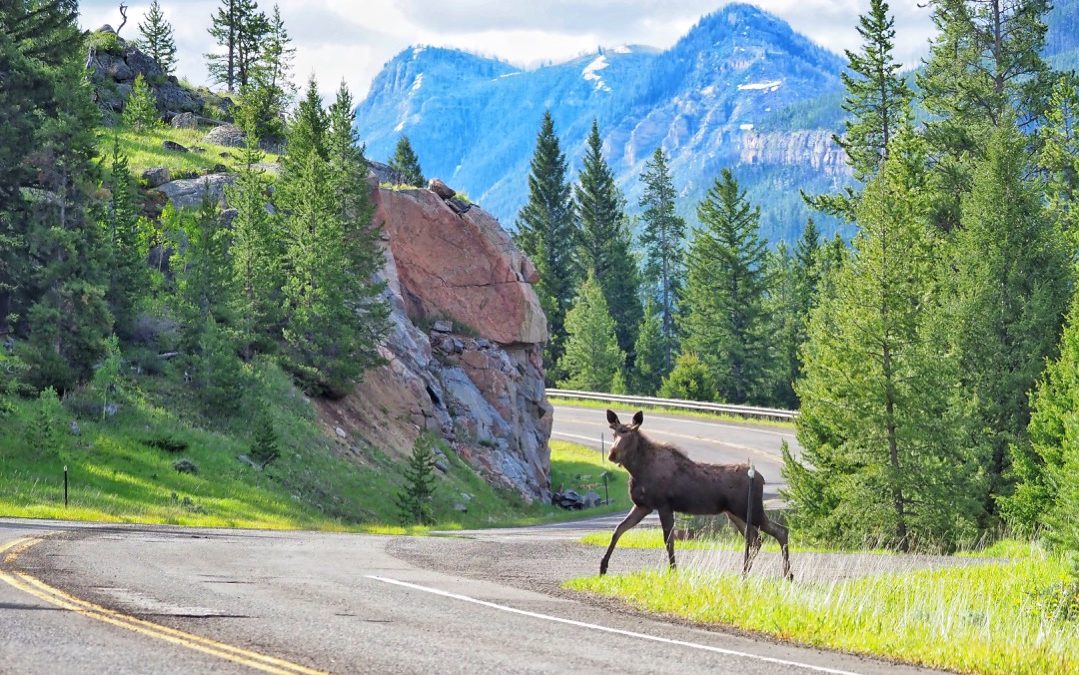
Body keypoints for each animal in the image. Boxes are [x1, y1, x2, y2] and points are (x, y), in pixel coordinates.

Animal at [599, 407, 794, 573]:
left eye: (629, 435)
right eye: (614, 433)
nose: (612, 453)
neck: (637, 470)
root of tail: (761, 478)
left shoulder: (663, 505)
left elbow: (668, 540)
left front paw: (673, 570)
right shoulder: (643, 506)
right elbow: (618, 529)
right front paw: (603, 566)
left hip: (751, 510)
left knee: (780, 531)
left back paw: (787, 574)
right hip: (736, 513)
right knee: (756, 538)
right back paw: (746, 572)